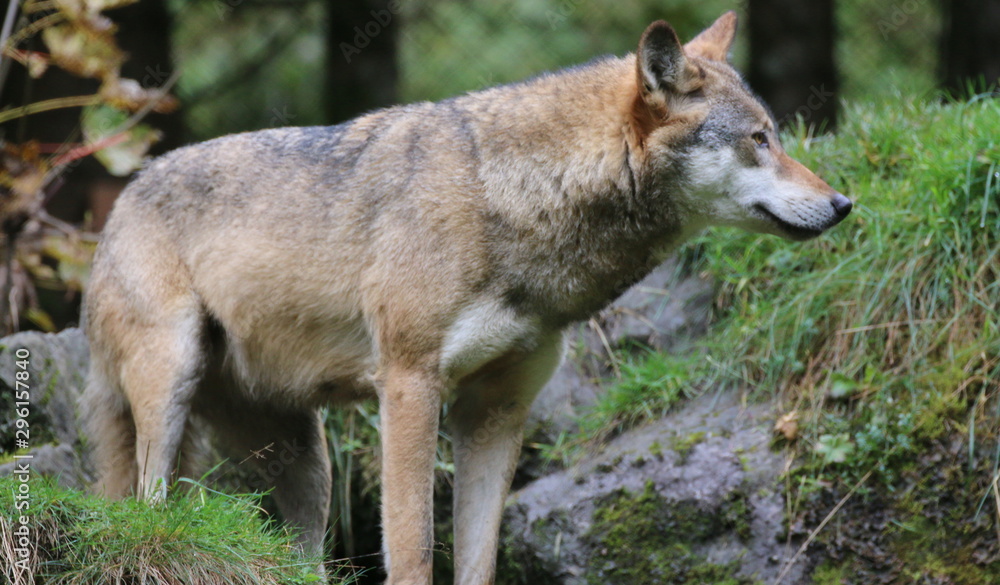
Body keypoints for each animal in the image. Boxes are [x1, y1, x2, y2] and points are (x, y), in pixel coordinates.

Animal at [81, 11, 851, 585]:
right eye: (760, 139)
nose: (845, 204)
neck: (509, 199)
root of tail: (120, 204)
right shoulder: (409, 384)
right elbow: (416, 546)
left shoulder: (496, 411)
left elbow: (480, 555)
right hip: (174, 384)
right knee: (145, 507)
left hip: (307, 461)